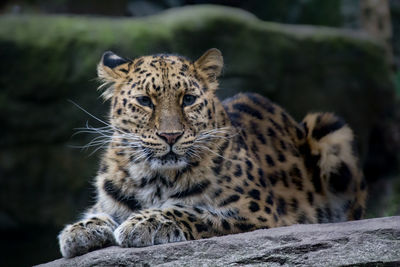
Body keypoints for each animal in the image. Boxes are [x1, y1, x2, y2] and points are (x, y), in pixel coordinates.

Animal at [57, 49, 368, 258]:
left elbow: (192, 211)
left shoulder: (257, 212)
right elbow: (99, 211)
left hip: (329, 128)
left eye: (188, 100)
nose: (170, 136)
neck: (156, 179)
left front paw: (145, 222)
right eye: (145, 101)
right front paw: (81, 229)